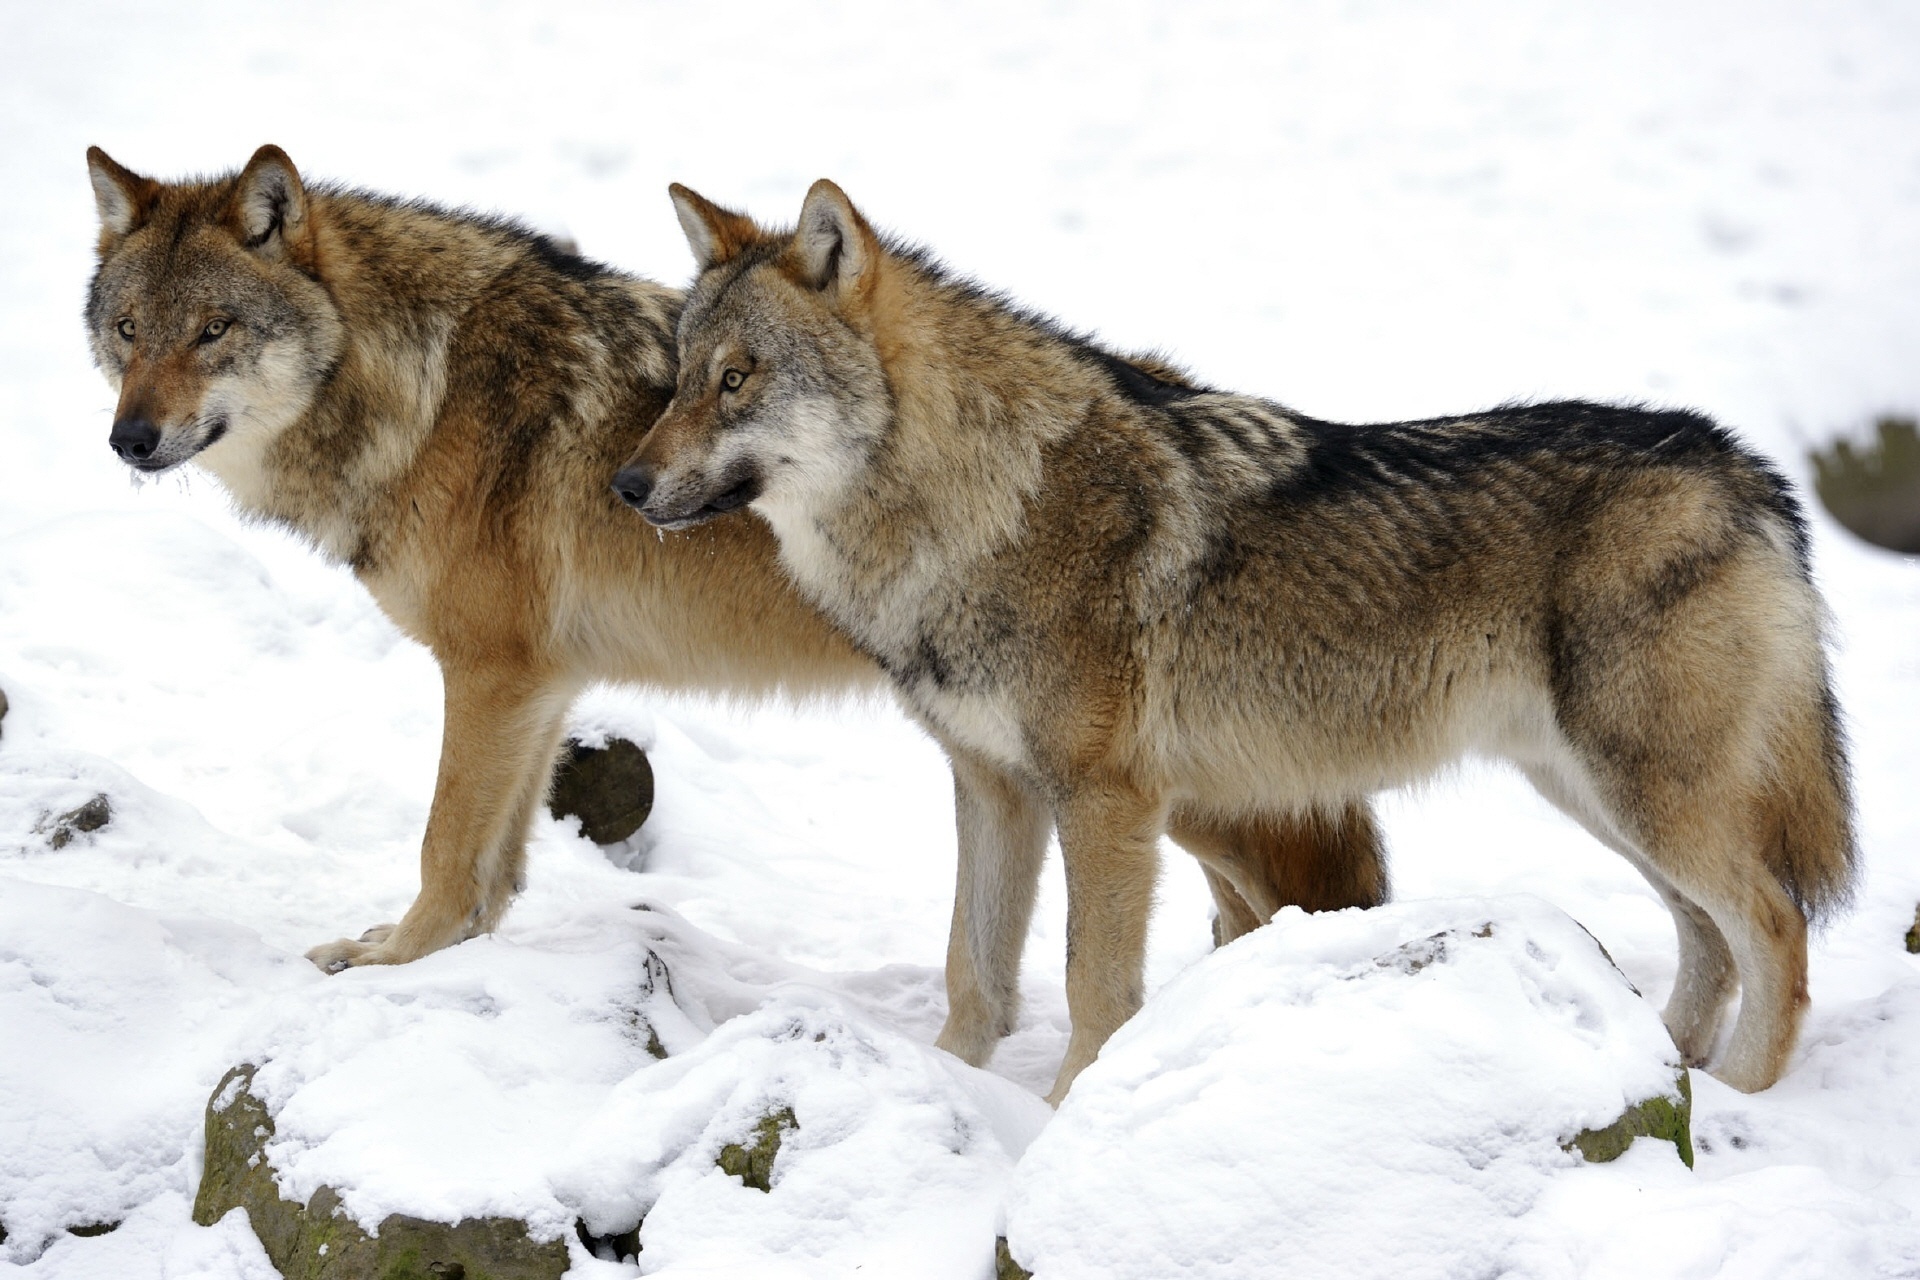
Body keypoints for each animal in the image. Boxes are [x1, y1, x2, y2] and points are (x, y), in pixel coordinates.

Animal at [78, 144, 1382, 990]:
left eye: (214, 332)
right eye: (130, 332)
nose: (129, 439)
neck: (426, 385)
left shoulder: (491, 673)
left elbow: (446, 846)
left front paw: (390, 960)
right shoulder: (542, 684)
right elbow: (497, 870)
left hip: (1160, 788)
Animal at [622, 180, 1850, 1105]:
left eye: (739, 380)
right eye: (679, 379)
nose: (626, 486)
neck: (979, 504)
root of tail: (1745, 465)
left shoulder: (1106, 803)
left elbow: (1093, 987)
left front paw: (1061, 1120)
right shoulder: (993, 785)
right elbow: (974, 970)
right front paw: (947, 1088)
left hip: (1647, 794)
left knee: (1777, 930)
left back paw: (1737, 1097)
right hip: (1597, 795)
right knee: (1709, 938)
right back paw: (1666, 1068)